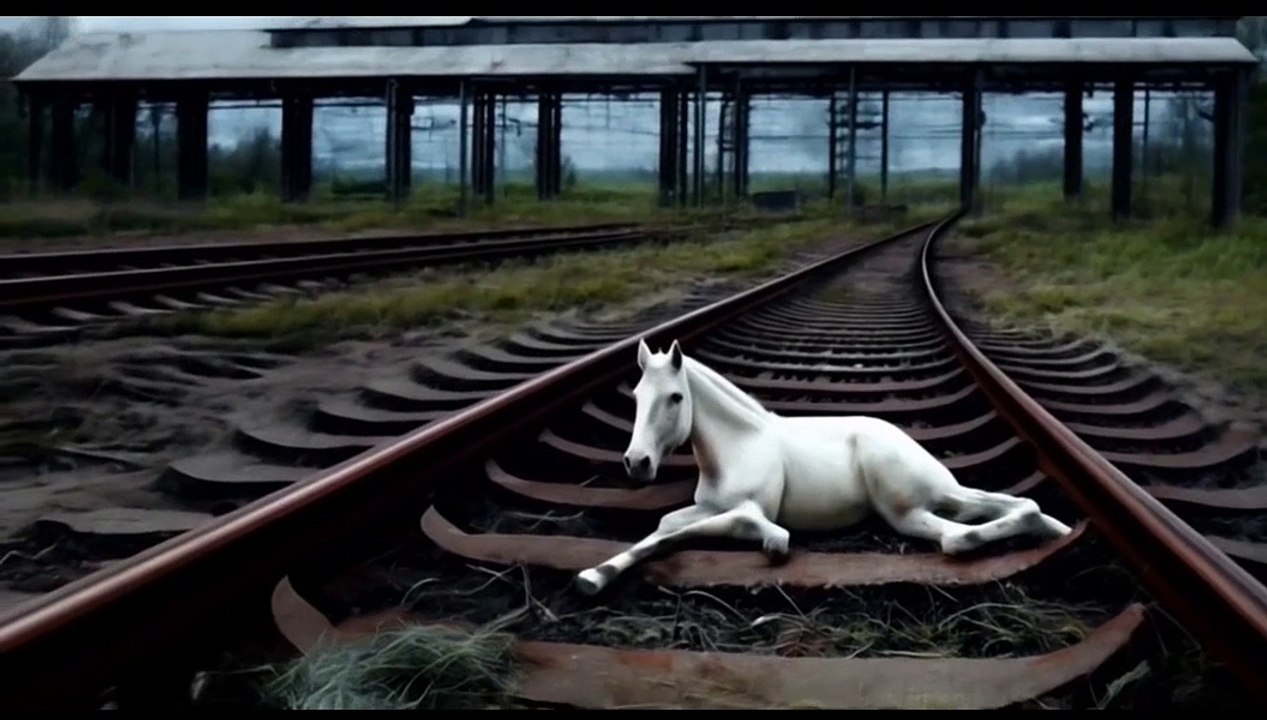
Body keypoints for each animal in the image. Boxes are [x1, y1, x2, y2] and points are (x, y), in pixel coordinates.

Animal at [573, 339, 1074, 596]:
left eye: (676, 397)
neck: (738, 444)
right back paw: (1056, 529)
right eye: (637, 396)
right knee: (1005, 507)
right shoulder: (706, 508)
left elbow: (749, 531)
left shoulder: (752, 511)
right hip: (933, 501)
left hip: (905, 507)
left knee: (960, 535)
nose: (637, 463)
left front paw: (773, 546)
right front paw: (595, 574)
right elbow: (662, 528)